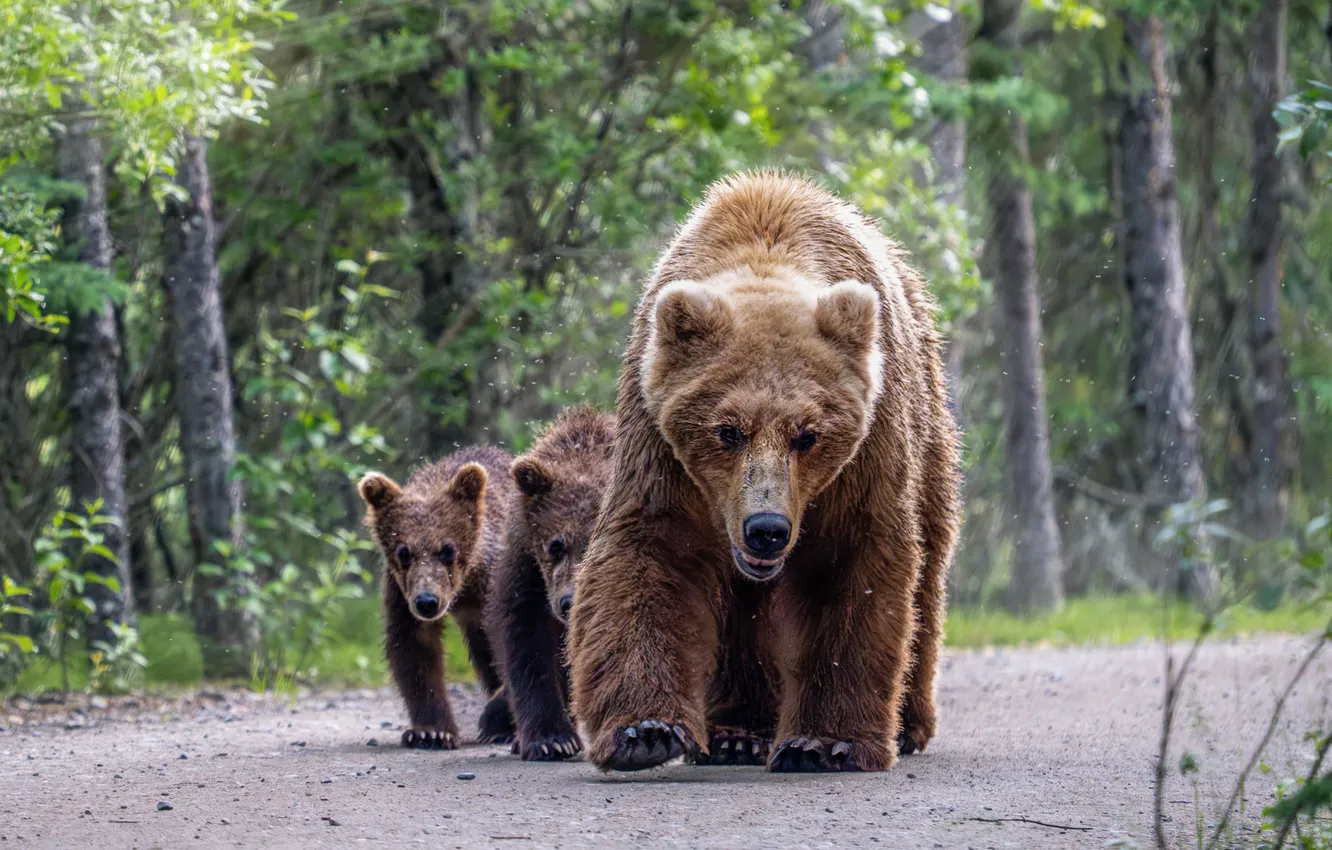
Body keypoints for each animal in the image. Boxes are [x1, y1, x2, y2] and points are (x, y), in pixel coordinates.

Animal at [358, 446, 518, 749]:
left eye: (447, 549)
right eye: (403, 552)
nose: (427, 602)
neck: (465, 586)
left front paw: (495, 718)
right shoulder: (401, 592)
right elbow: (415, 647)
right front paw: (430, 731)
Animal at [485, 406, 616, 761]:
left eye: (596, 542)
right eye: (556, 545)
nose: (568, 602)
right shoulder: (528, 568)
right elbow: (527, 643)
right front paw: (551, 739)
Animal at [567, 170, 961, 773]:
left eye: (808, 435)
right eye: (727, 430)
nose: (767, 529)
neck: (765, 248)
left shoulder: (865, 456)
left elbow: (849, 569)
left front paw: (825, 741)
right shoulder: (660, 450)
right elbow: (651, 554)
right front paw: (646, 731)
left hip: (929, 426)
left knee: (927, 571)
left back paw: (908, 724)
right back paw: (737, 732)